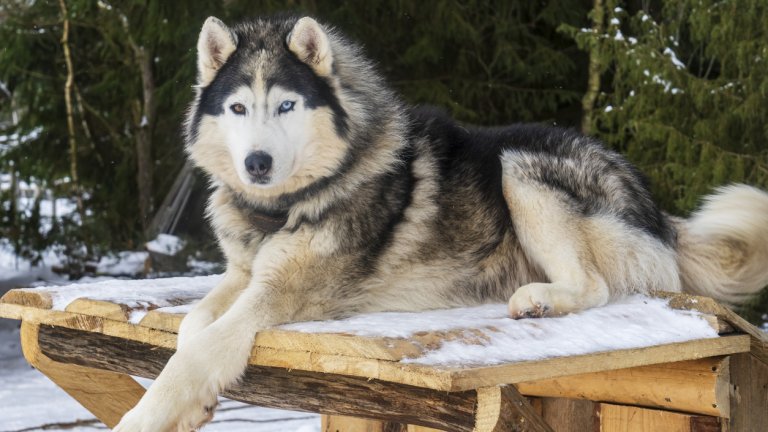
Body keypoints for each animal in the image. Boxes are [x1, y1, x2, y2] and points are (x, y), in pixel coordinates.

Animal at [114, 14, 768, 432]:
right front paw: (192, 406)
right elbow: (191, 325)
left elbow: (197, 352)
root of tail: (655, 207)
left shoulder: (279, 293)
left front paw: (145, 416)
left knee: (597, 286)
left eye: (287, 105)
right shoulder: (242, 275)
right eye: (237, 108)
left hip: (520, 167)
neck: (282, 208)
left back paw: (539, 299)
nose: (257, 163)